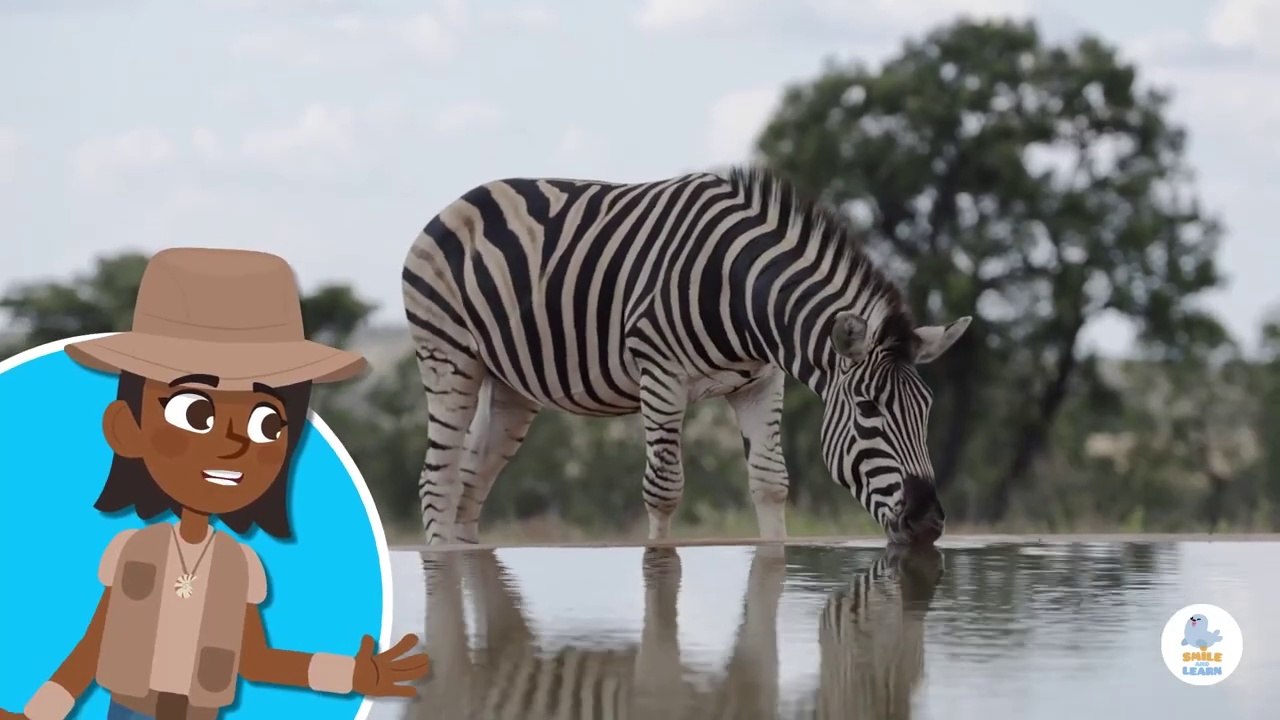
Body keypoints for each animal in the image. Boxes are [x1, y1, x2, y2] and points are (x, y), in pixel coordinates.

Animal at [402, 166, 972, 546]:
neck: (744, 297)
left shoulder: (761, 383)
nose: (928, 522)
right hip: (449, 359)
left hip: (510, 385)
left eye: (926, 410)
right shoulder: (661, 376)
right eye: (868, 410)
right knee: (437, 481)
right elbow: (664, 489)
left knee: (470, 484)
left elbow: (771, 484)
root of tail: (464, 198)